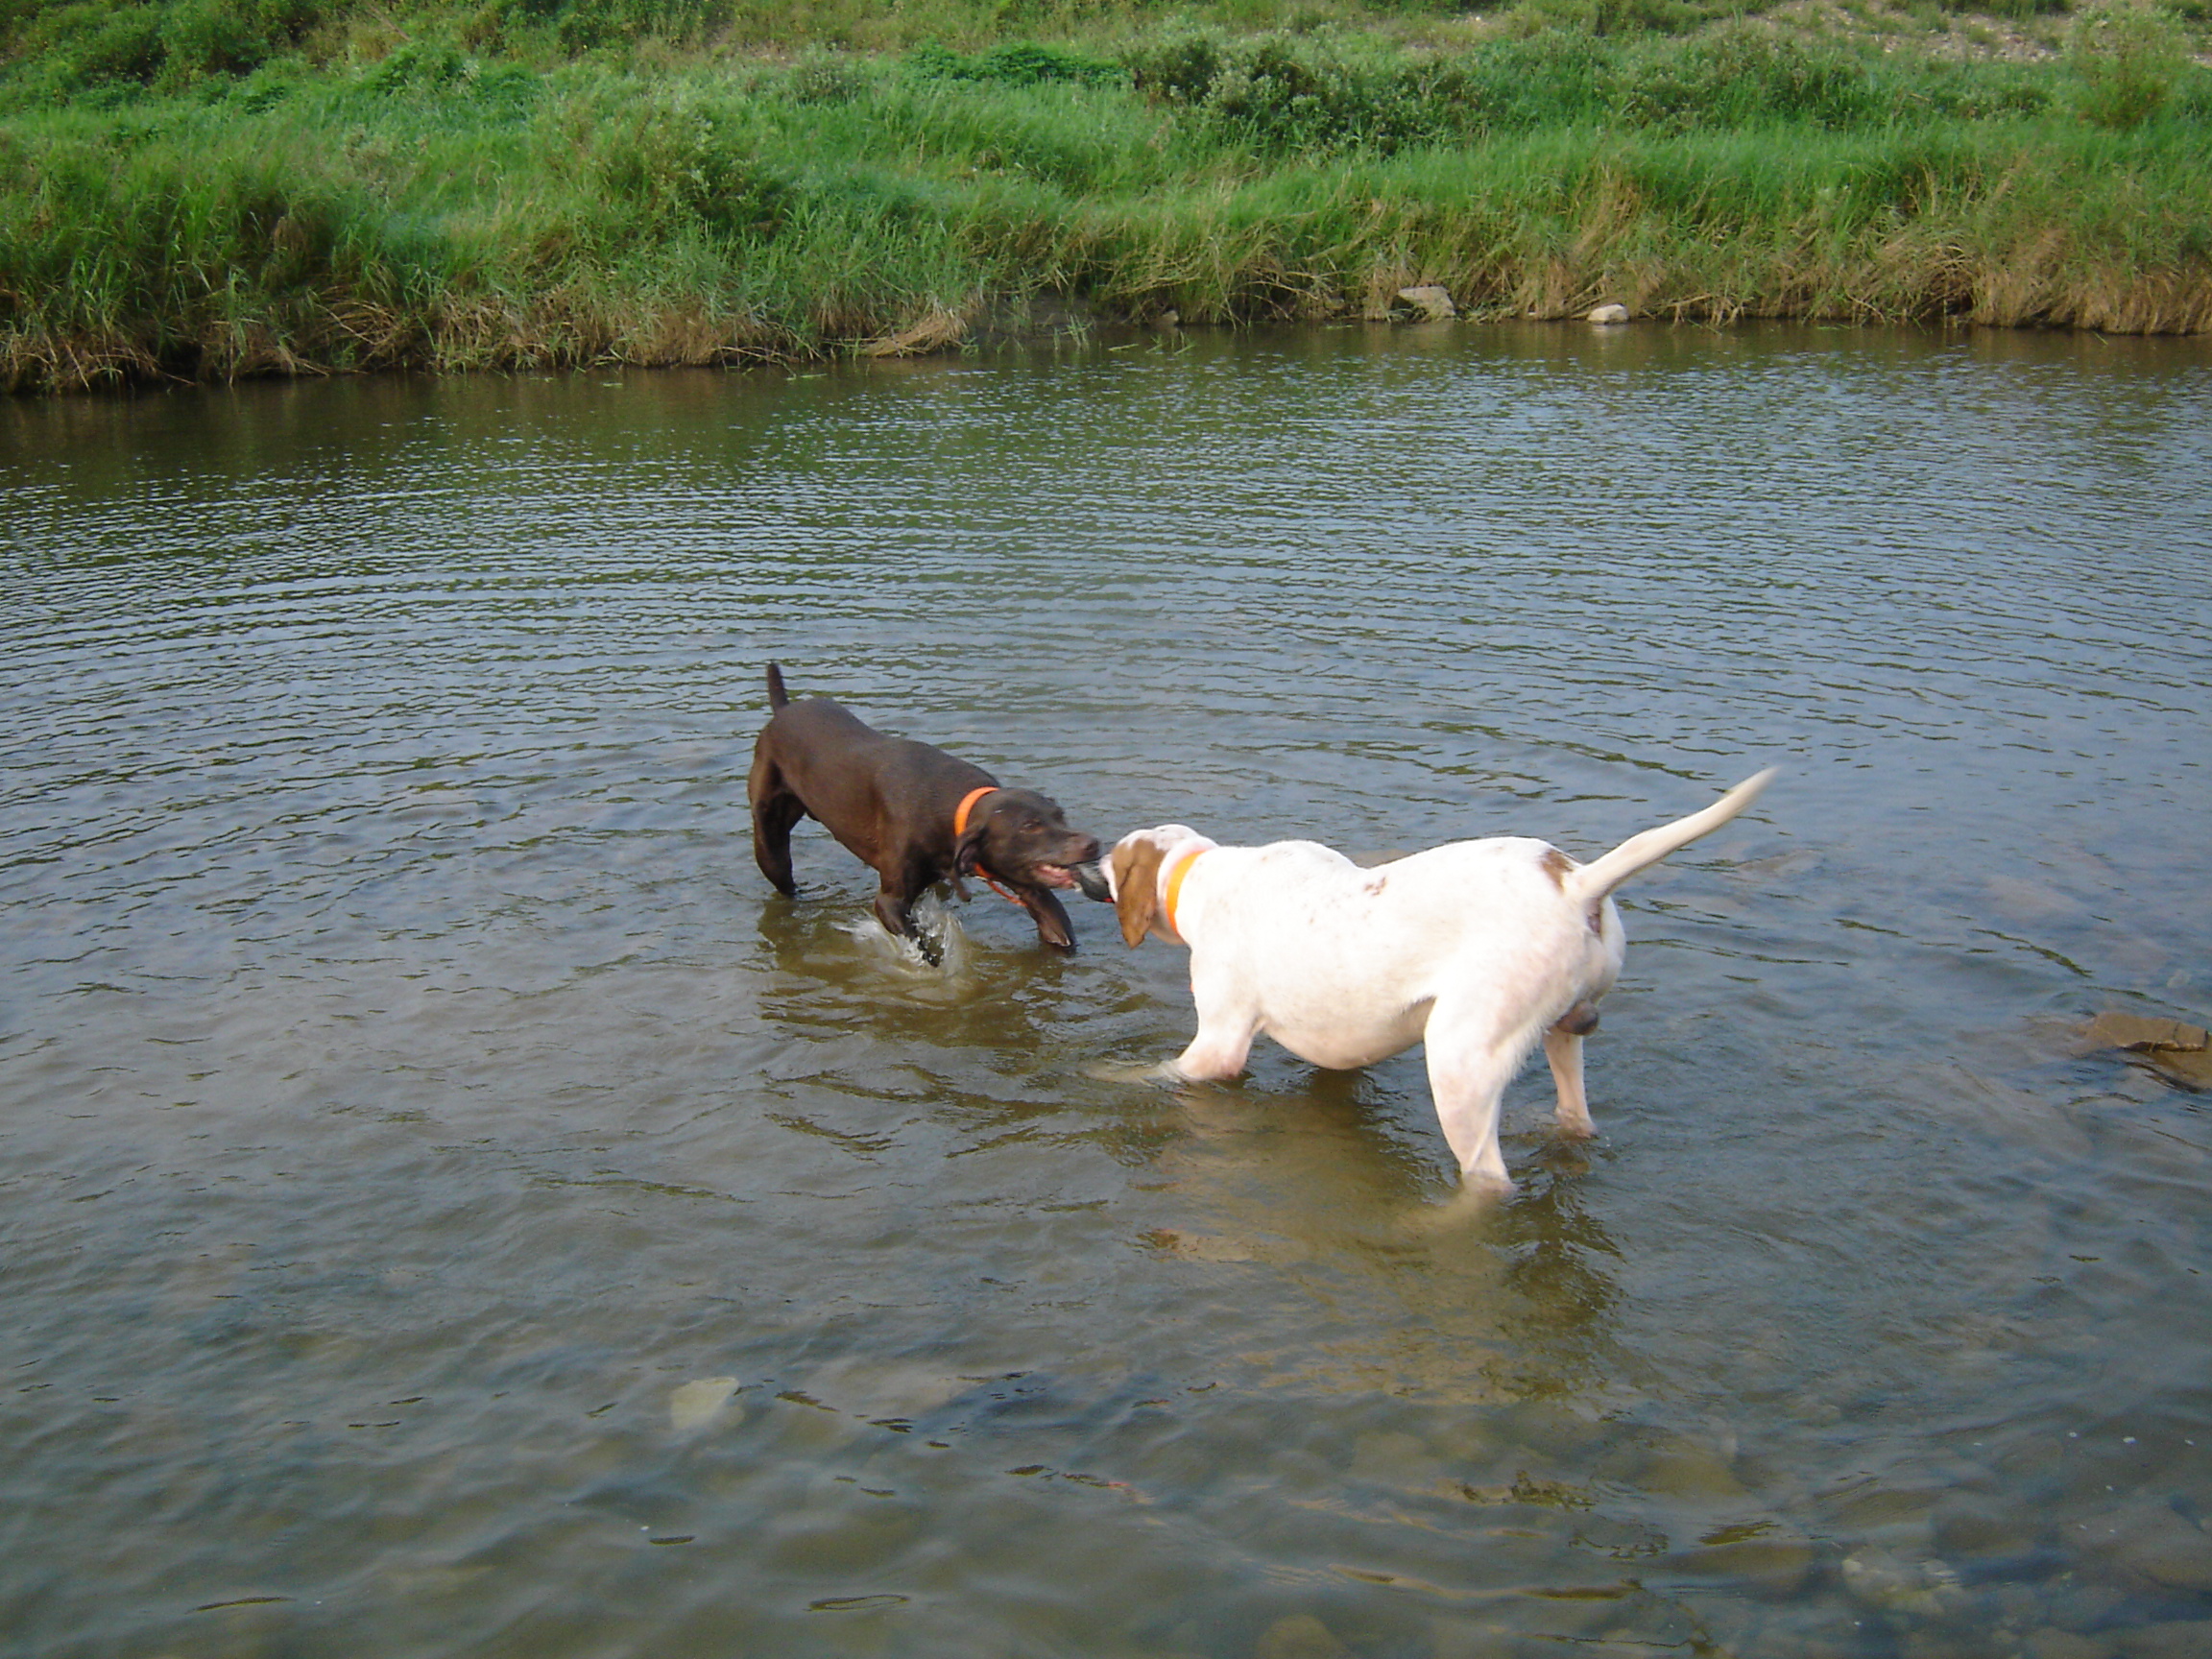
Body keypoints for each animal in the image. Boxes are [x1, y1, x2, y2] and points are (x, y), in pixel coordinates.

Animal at [748, 664, 1108, 952]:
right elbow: (923, 951)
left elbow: (1057, 928)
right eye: (1029, 826)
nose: (1092, 843)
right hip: (771, 848)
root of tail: (782, 710)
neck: (952, 810)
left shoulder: (1026, 886)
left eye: (1059, 815)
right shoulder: (890, 903)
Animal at [1102, 770, 1776, 1190]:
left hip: (1458, 1063)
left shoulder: (1217, 1047)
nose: (1090, 863)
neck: (1201, 872)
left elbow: (1154, 1073)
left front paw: (1107, 1075)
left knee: (1488, 1181)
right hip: (1562, 1034)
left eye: (1115, 861)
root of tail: (1577, 882)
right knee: (1576, 1117)